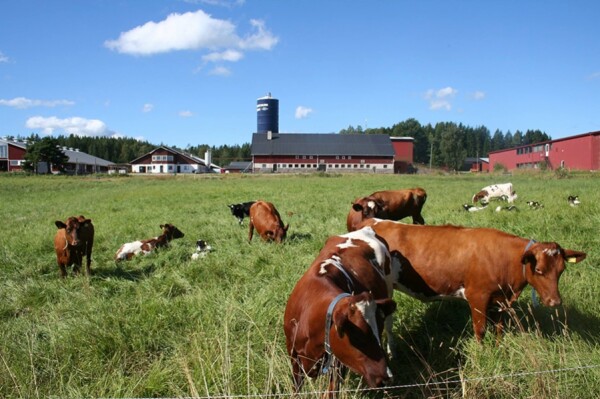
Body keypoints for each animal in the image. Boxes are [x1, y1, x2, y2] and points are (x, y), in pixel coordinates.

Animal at [284, 227, 396, 398]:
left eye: (378, 329)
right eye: (357, 337)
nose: (386, 377)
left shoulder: (337, 363)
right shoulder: (293, 354)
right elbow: (296, 388)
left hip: (389, 288)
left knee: (390, 326)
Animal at [364, 220, 588, 342]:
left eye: (561, 270)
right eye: (539, 270)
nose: (555, 301)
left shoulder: (500, 300)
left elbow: (499, 328)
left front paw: (498, 347)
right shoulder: (477, 297)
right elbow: (480, 330)